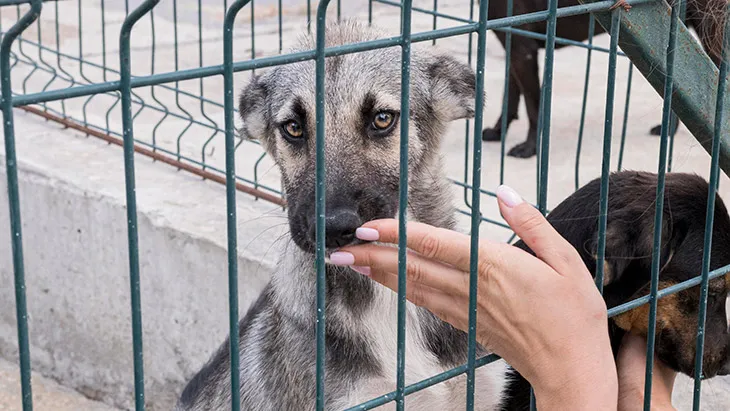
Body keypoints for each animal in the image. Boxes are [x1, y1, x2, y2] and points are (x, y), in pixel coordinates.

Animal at [480, 0, 724, 159]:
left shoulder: (523, 49)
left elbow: (533, 106)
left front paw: (529, 148)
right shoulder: (515, 48)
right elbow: (510, 97)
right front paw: (499, 132)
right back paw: (669, 131)